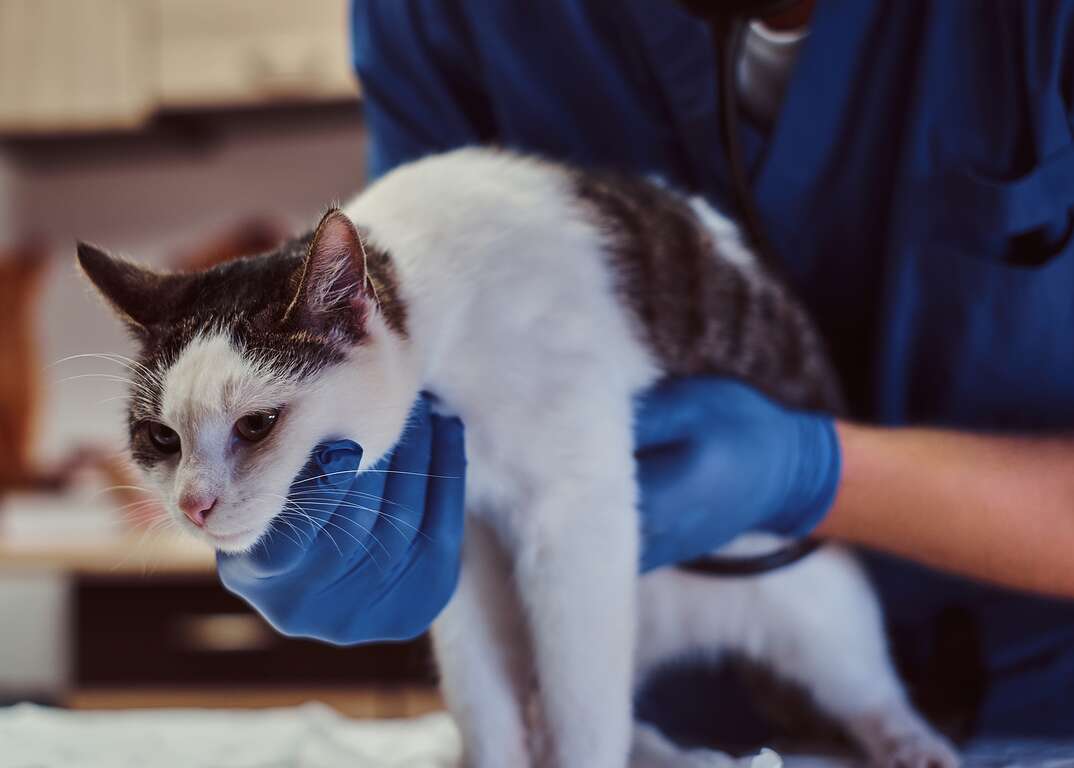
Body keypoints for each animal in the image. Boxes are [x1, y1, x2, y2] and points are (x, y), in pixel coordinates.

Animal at [79, 147, 962, 764]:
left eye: (258, 425)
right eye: (160, 438)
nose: (193, 504)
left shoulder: (576, 514)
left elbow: (582, 706)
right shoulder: (463, 542)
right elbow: (486, 696)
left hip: (807, 599)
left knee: (852, 680)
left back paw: (906, 741)